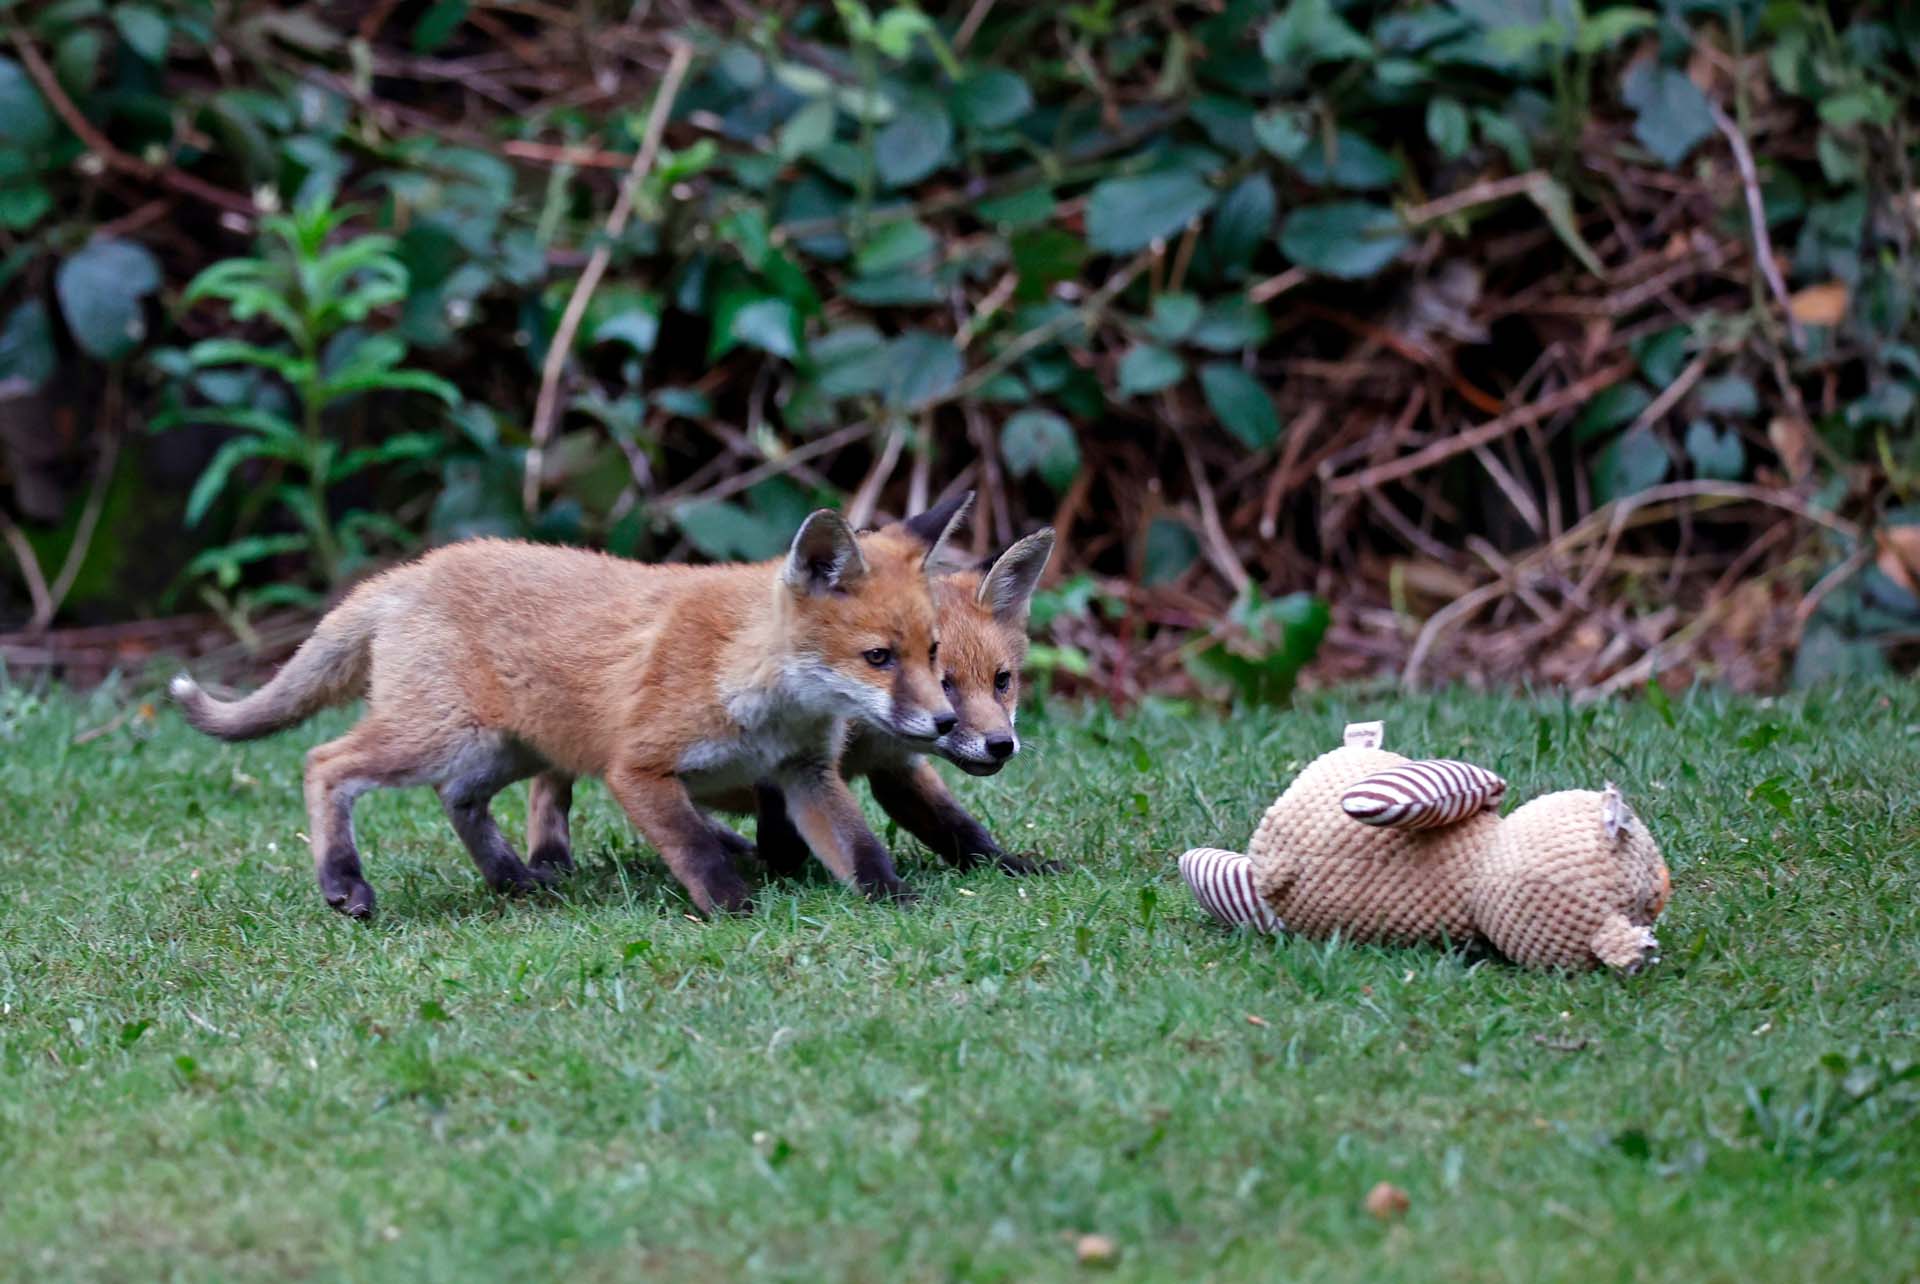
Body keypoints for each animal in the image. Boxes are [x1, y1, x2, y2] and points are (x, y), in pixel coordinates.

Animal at [169, 493, 974, 919]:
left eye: (934, 654)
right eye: (879, 658)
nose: (946, 725)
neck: (750, 676)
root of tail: (407, 574)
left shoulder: (804, 772)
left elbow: (858, 847)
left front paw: (897, 900)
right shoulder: (638, 767)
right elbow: (693, 844)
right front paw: (730, 907)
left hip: (508, 747)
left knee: (457, 799)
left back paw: (510, 878)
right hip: (439, 737)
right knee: (324, 761)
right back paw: (342, 880)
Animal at [732, 528, 1058, 878]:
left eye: (1002, 681)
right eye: (941, 684)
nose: (1001, 744)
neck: (864, 736)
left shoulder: (897, 768)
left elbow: (961, 829)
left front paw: (1012, 865)